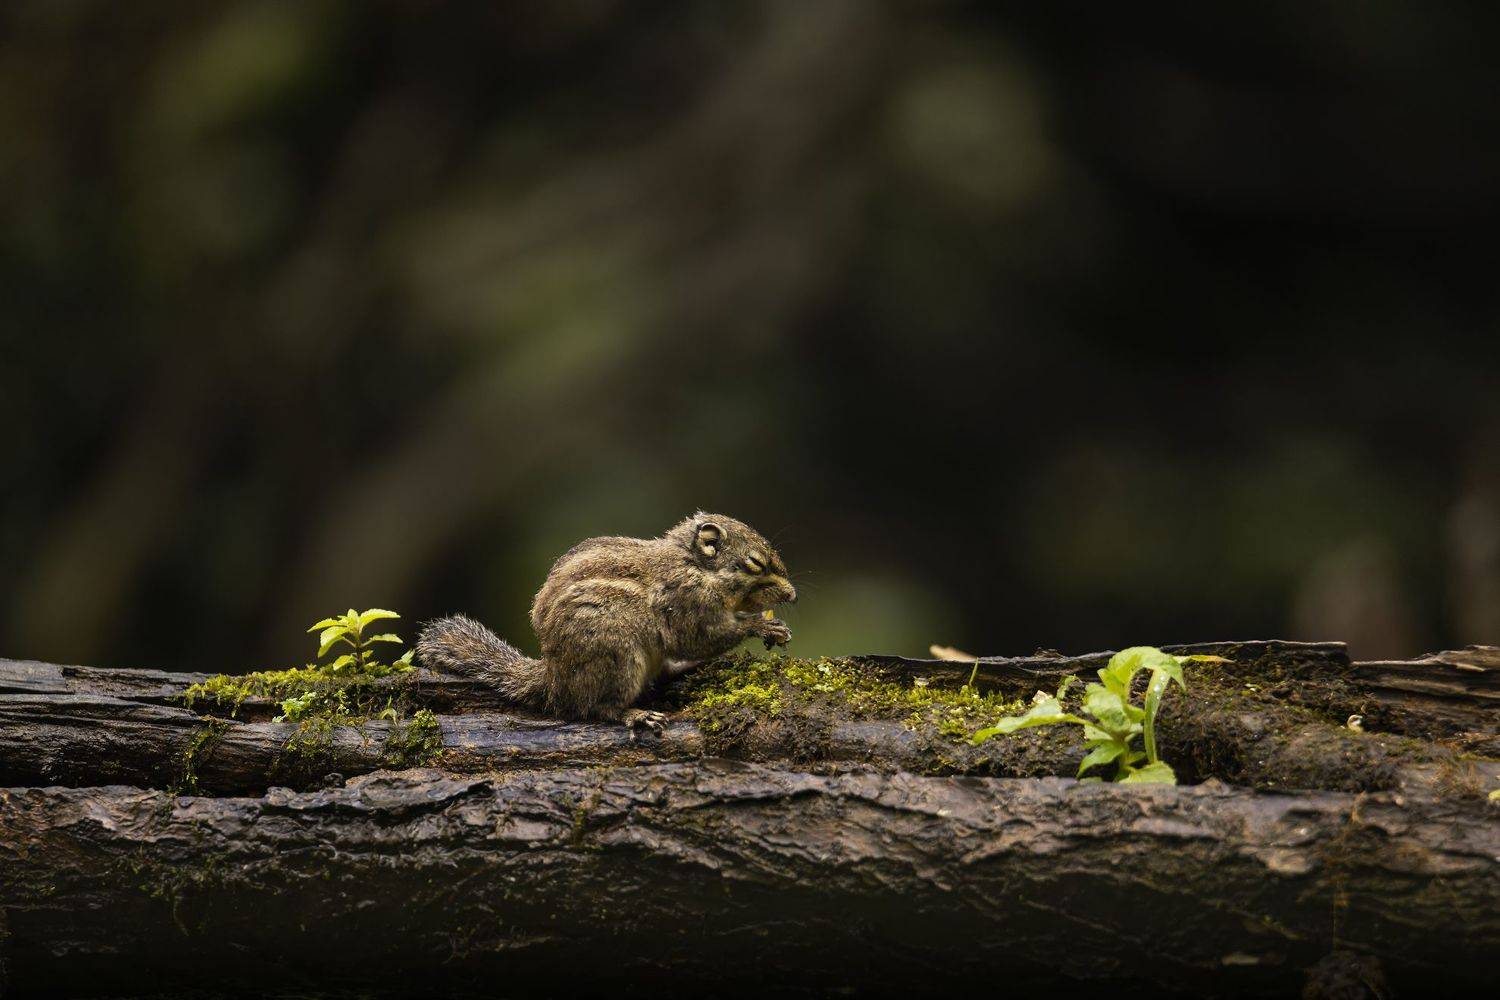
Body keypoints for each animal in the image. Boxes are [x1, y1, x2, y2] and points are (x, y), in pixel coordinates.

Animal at [416, 512, 796, 731]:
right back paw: (635, 714)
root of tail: (554, 681)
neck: (695, 566)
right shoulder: (686, 602)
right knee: (594, 708)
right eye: (755, 564)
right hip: (617, 656)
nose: (792, 595)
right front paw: (761, 625)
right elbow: (701, 636)